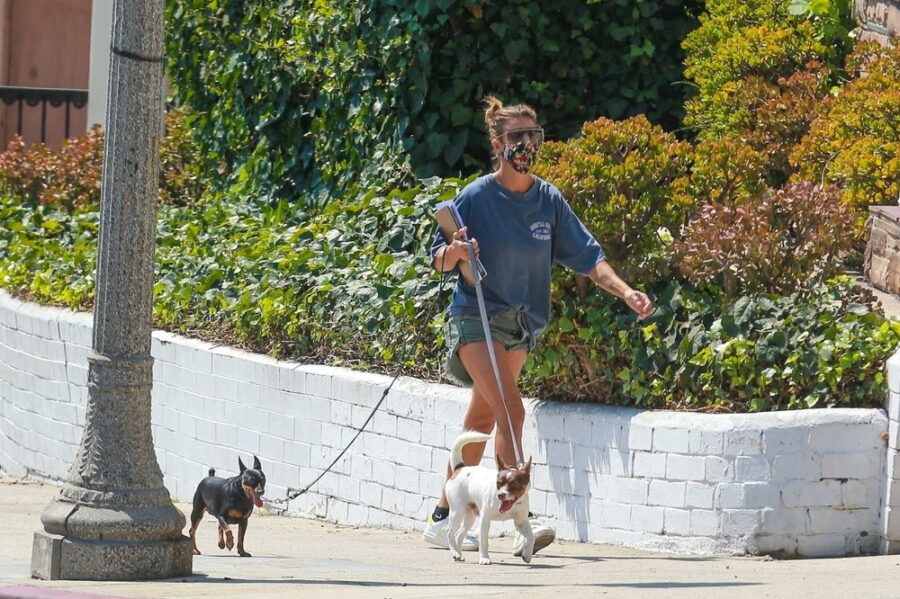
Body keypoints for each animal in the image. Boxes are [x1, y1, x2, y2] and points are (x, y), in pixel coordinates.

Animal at [444, 432, 536, 564]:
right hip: (457, 512)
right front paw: (484, 559)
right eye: (499, 483)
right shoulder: (485, 520)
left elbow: (531, 537)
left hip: (469, 516)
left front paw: (527, 555)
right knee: (450, 532)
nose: (500, 494)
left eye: (514, 484)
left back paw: (459, 554)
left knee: (459, 534)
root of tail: (460, 468)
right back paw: (455, 553)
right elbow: (484, 542)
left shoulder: (521, 521)